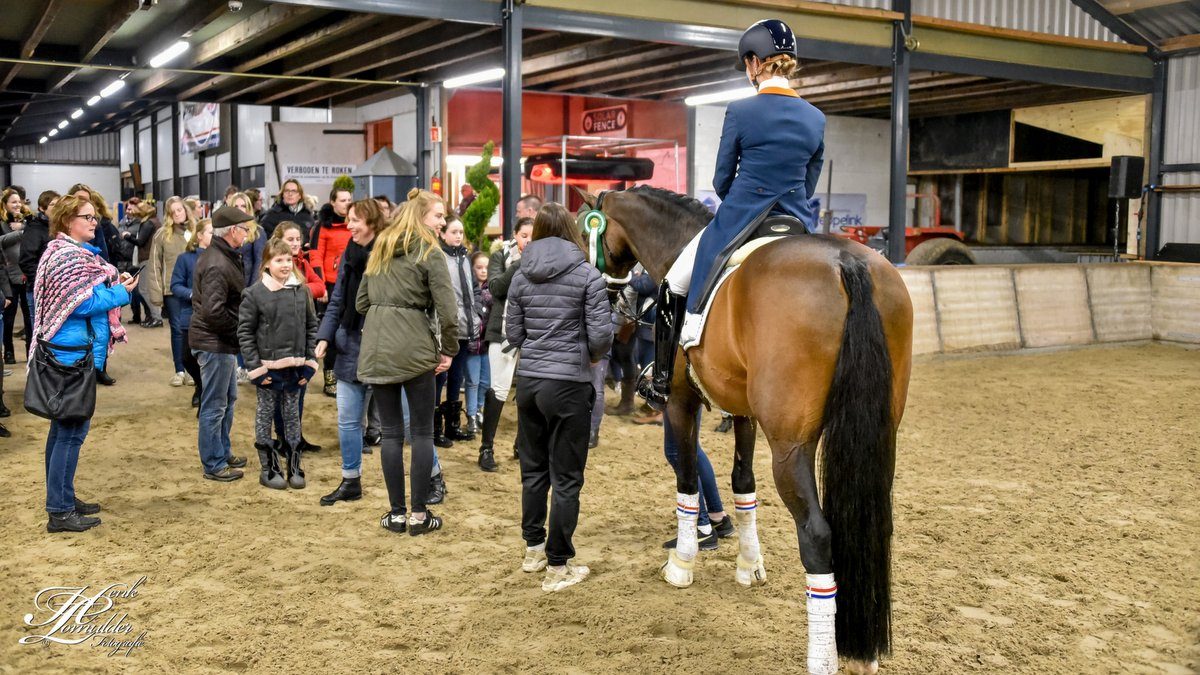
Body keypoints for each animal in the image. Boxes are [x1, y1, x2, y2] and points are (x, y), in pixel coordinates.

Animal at [578, 186, 907, 672]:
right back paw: (861, 656)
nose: (608, 298)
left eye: (589, 233)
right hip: (881, 434)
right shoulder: (743, 411)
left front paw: (682, 563)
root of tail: (847, 263)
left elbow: (687, 481)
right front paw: (749, 565)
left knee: (816, 534)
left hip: (790, 446)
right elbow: (743, 485)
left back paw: (822, 658)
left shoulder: (681, 401)